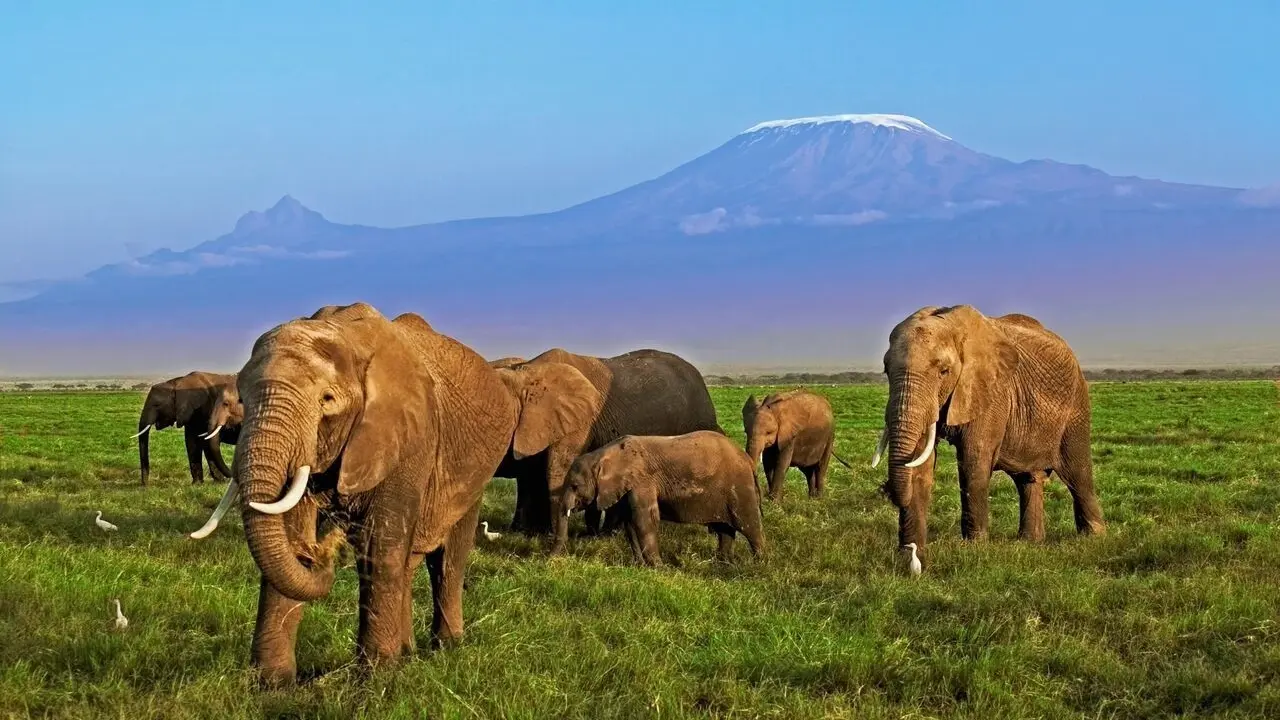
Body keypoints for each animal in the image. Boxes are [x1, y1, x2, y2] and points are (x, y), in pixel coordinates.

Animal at [189, 302, 519, 686]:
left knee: (449, 555)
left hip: (474, 468)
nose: (320, 551)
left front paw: (375, 682)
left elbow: (379, 544)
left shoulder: (408, 436)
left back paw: (446, 648)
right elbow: (289, 527)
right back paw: (407, 652)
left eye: (327, 400)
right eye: (242, 399)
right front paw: (272, 685)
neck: (343, 333)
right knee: (408, 562)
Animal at [560, 431, 765, 566]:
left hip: (740, 487)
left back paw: (760, 564)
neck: (603, 454)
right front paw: (640, 566)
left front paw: (659, 568)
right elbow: (630, 523)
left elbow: (645, 520)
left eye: (575, 486)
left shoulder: (643, 481)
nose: (555, 557)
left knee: (749, 526)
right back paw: (722, 564)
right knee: (725, 530)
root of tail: (747, 459)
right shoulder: (629, 487)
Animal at [875, 305, 1106, 563]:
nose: (884, 490)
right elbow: (920, 463)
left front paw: (973, 549)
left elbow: (974, 459)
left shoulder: (991, 392)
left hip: (1076, 407)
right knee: (1028, 479)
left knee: (1078, 473)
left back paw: (1094, 538)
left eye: (944, 371)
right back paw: (1029, 542)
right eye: (886, 370)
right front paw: (909, 557)